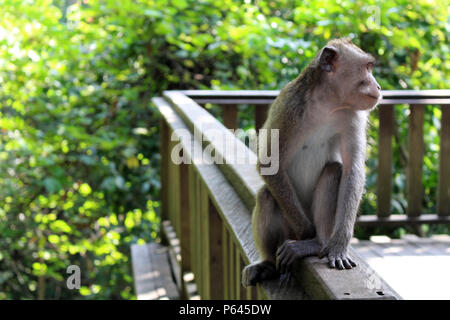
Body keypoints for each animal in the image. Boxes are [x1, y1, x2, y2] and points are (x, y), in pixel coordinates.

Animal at [241, 38, 382, 288]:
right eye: (367, 68)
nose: (378, 86)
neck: (327, 103)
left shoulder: (353, 115)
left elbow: (352, 170)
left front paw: (338, 244)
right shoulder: (289, 106)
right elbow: (270, 165)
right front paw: (306, 233)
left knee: (333, 171)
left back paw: (319, 242)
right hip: (288, 223)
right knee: (267, 195)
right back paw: (270, 261)